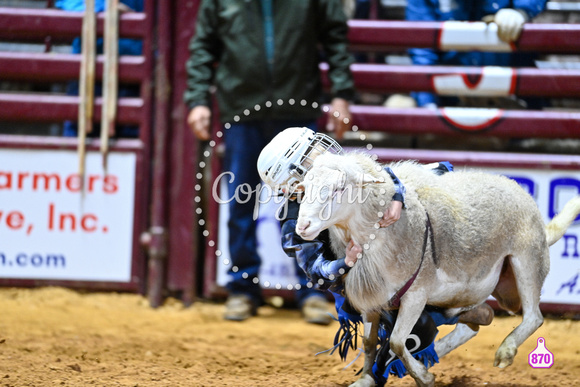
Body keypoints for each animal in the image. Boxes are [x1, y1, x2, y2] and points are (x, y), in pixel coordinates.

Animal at [296, 152, 580, 387]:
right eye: (304, 188)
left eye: (339, 188)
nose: (302, 226)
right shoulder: (371, 301)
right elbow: (369, 342)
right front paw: (367, 378)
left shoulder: (416, 295)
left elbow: (397, 341)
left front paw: (423, 377)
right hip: (466, 292)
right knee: (474, 324)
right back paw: (435, 351)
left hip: (527, 259)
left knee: (533, 317)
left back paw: (504, 352)